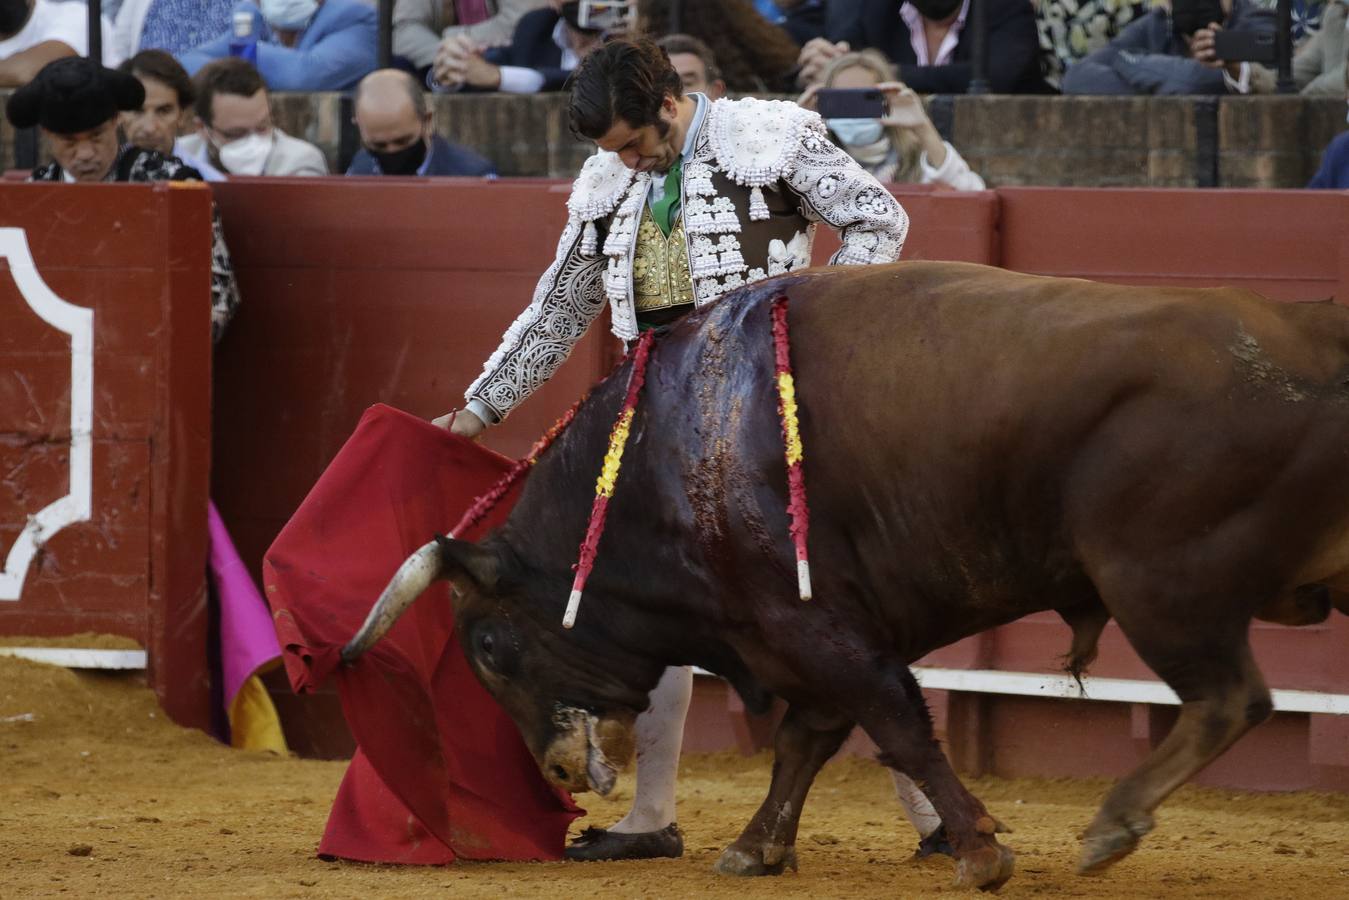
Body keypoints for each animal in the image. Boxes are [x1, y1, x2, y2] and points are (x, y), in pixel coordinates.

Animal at [337, 261, 1349, 895]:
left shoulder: (814, 625)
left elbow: (895, 725)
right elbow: (806, 742)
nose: (553, 770)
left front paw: (979, 851)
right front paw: (754, 850)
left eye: (491, 646)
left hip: (1160, 586)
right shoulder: (794, 636)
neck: (672, 450)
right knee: (1230, 700)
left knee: (1228, 699)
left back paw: (1109, 826)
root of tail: (1314, 337)